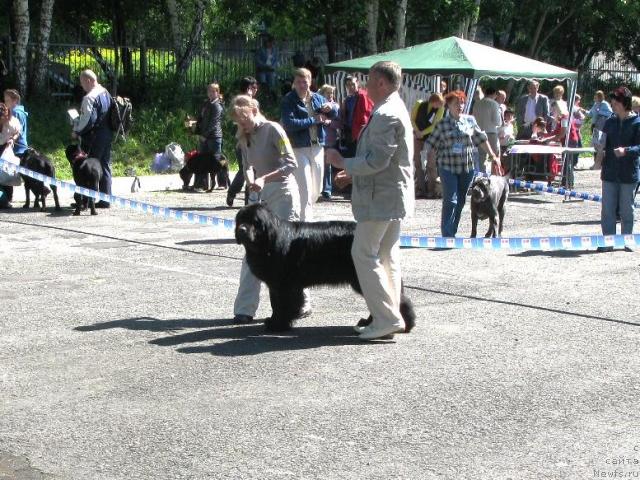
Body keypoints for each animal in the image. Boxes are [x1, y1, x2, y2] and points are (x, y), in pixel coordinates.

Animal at [232, 203, 418, 334]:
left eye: (255, 222)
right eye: (240, 220)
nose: (242, 230)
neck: (268, 244)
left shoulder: (285, 285)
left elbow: (283, 305)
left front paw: (279, 325)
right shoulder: (277, 285)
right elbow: (276, 304)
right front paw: (275, 321)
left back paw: (406, 324)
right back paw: (369, 323)